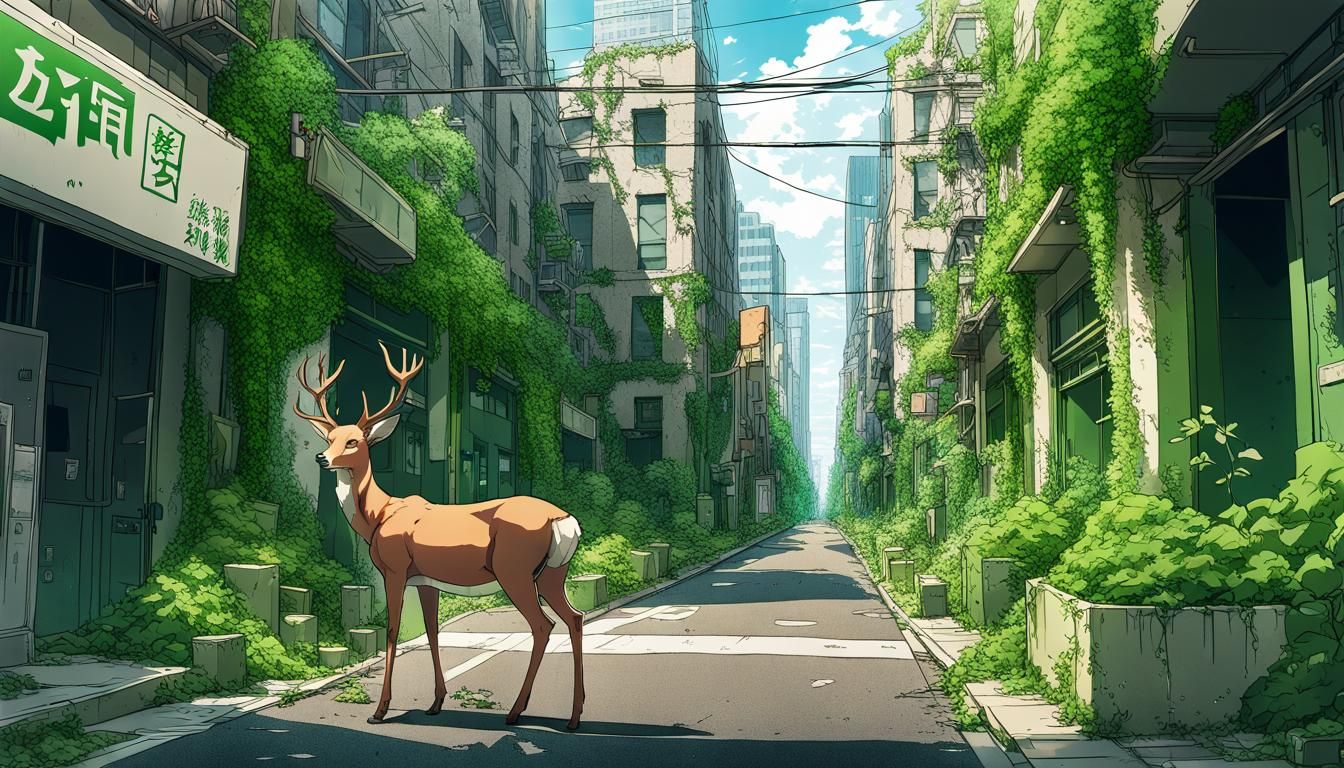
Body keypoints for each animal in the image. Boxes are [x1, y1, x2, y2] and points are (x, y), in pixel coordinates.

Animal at [293, 342, 586, 729]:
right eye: (330, 438)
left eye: (354, 440)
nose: (322, 457)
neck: (377, 515)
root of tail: (565, 520)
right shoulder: (425, 580)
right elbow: (431, 630)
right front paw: (436, 702)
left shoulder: (395, 569)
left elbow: (393, 630)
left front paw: (380, 710)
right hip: (552, 573)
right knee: (575, 618)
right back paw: (573, 716)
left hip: (515, 570)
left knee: (542, 625)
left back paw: (516, 711)